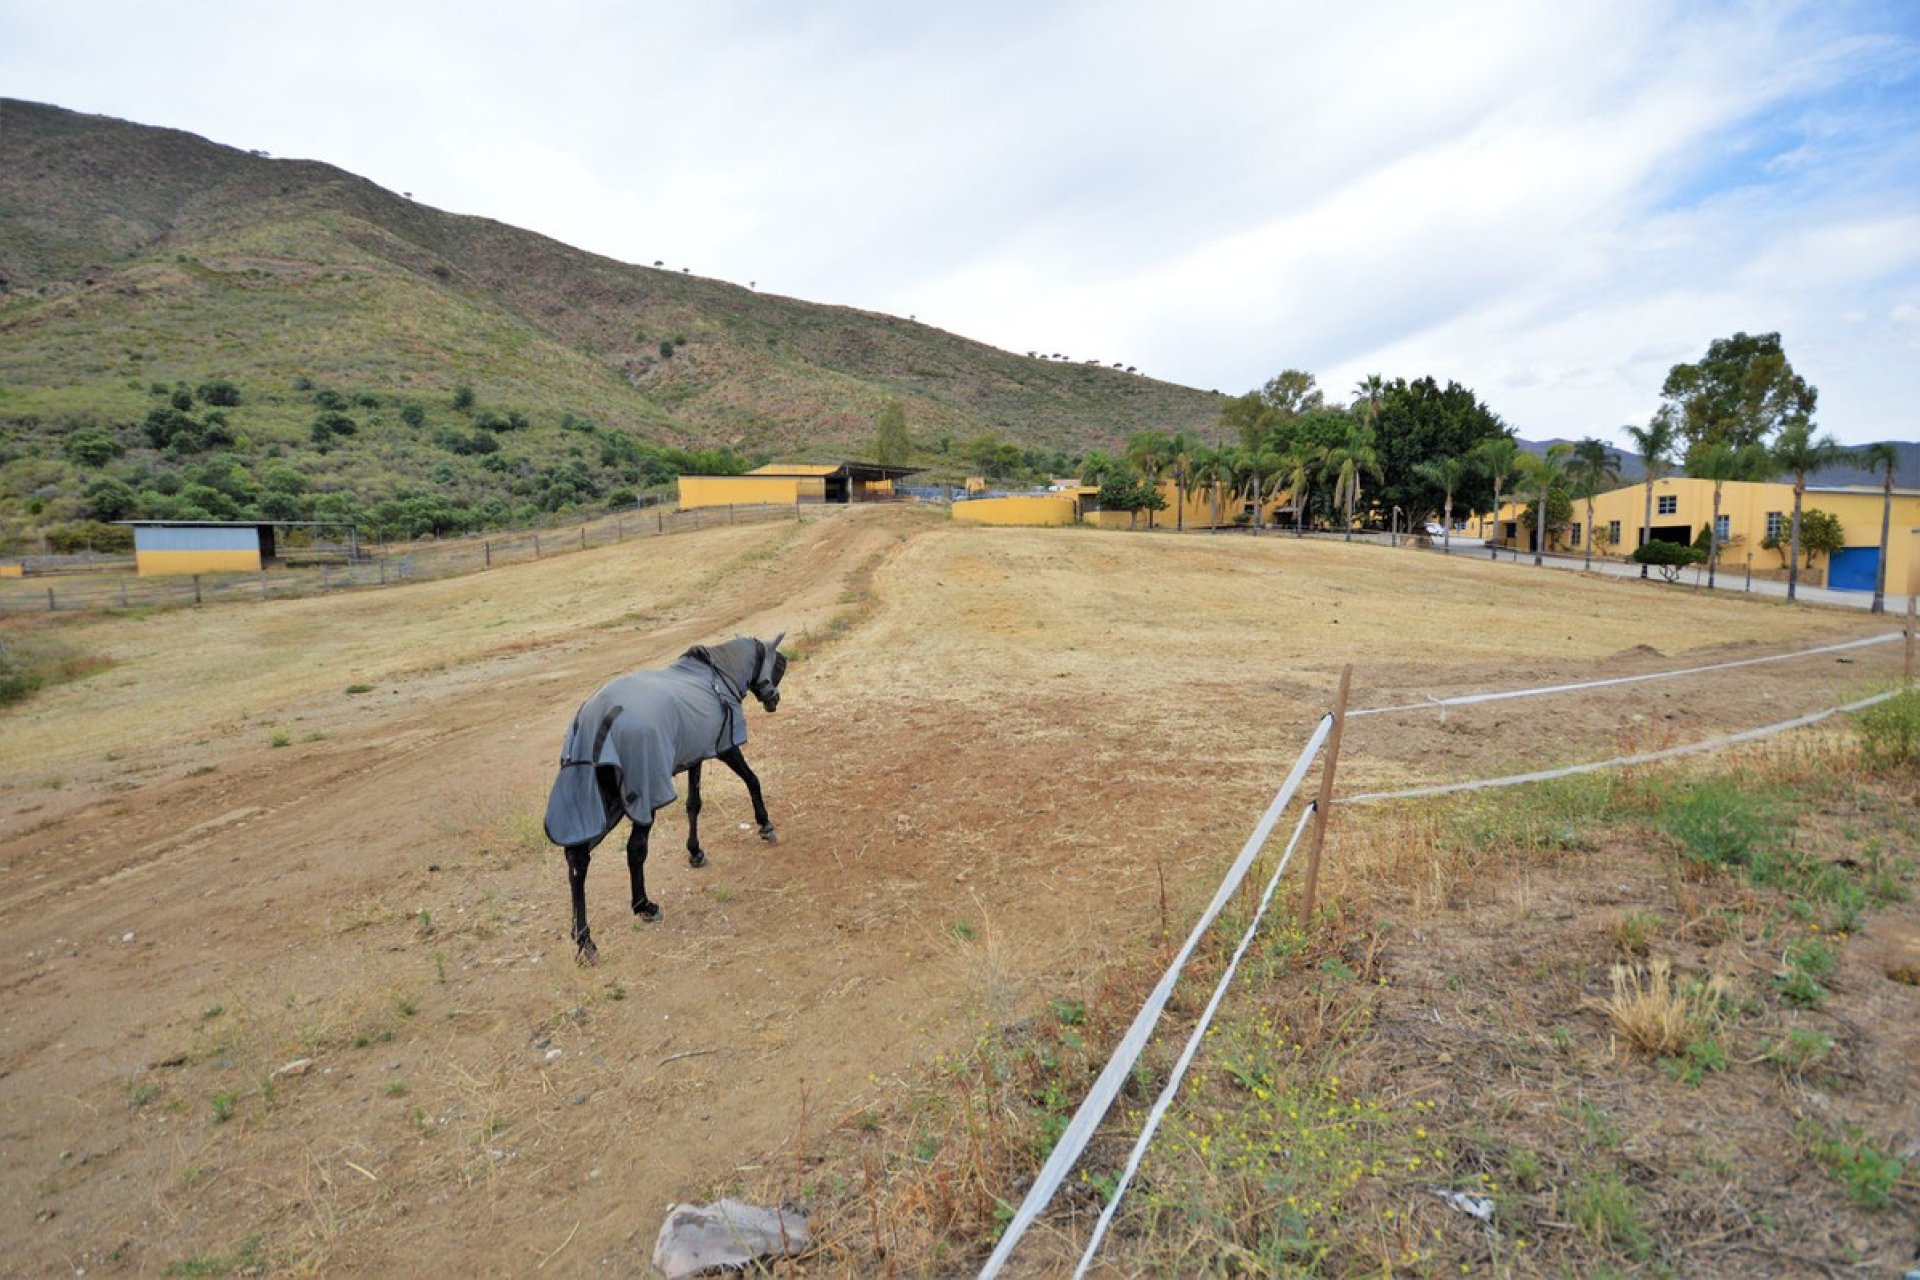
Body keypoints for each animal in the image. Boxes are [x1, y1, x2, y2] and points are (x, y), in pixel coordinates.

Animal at [541, 633, 787, 959]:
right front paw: (765, 824)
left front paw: (695, 852)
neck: (717, 676)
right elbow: (752, 781)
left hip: (608, 803)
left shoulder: (696, 754)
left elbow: (694, 805)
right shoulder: (725, 748)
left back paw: (584, 939)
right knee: (634, 850)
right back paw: (643, 906)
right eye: (778, 664)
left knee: (578, 860)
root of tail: (597, 717)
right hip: (639, 797)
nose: (774, 699)